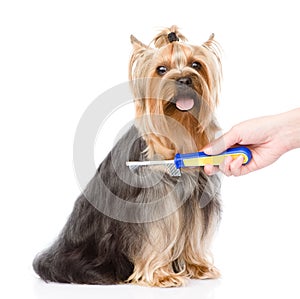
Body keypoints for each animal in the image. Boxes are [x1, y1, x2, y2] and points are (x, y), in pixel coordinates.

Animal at [34, 25, 224, 288]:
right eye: (161, 69)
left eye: (196, 65)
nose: (184, 79)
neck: (178, 136)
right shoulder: (154, 201)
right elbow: (156, 235)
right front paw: (162, 275)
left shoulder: (196, 196)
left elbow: (193, 233)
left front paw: (197, 266)